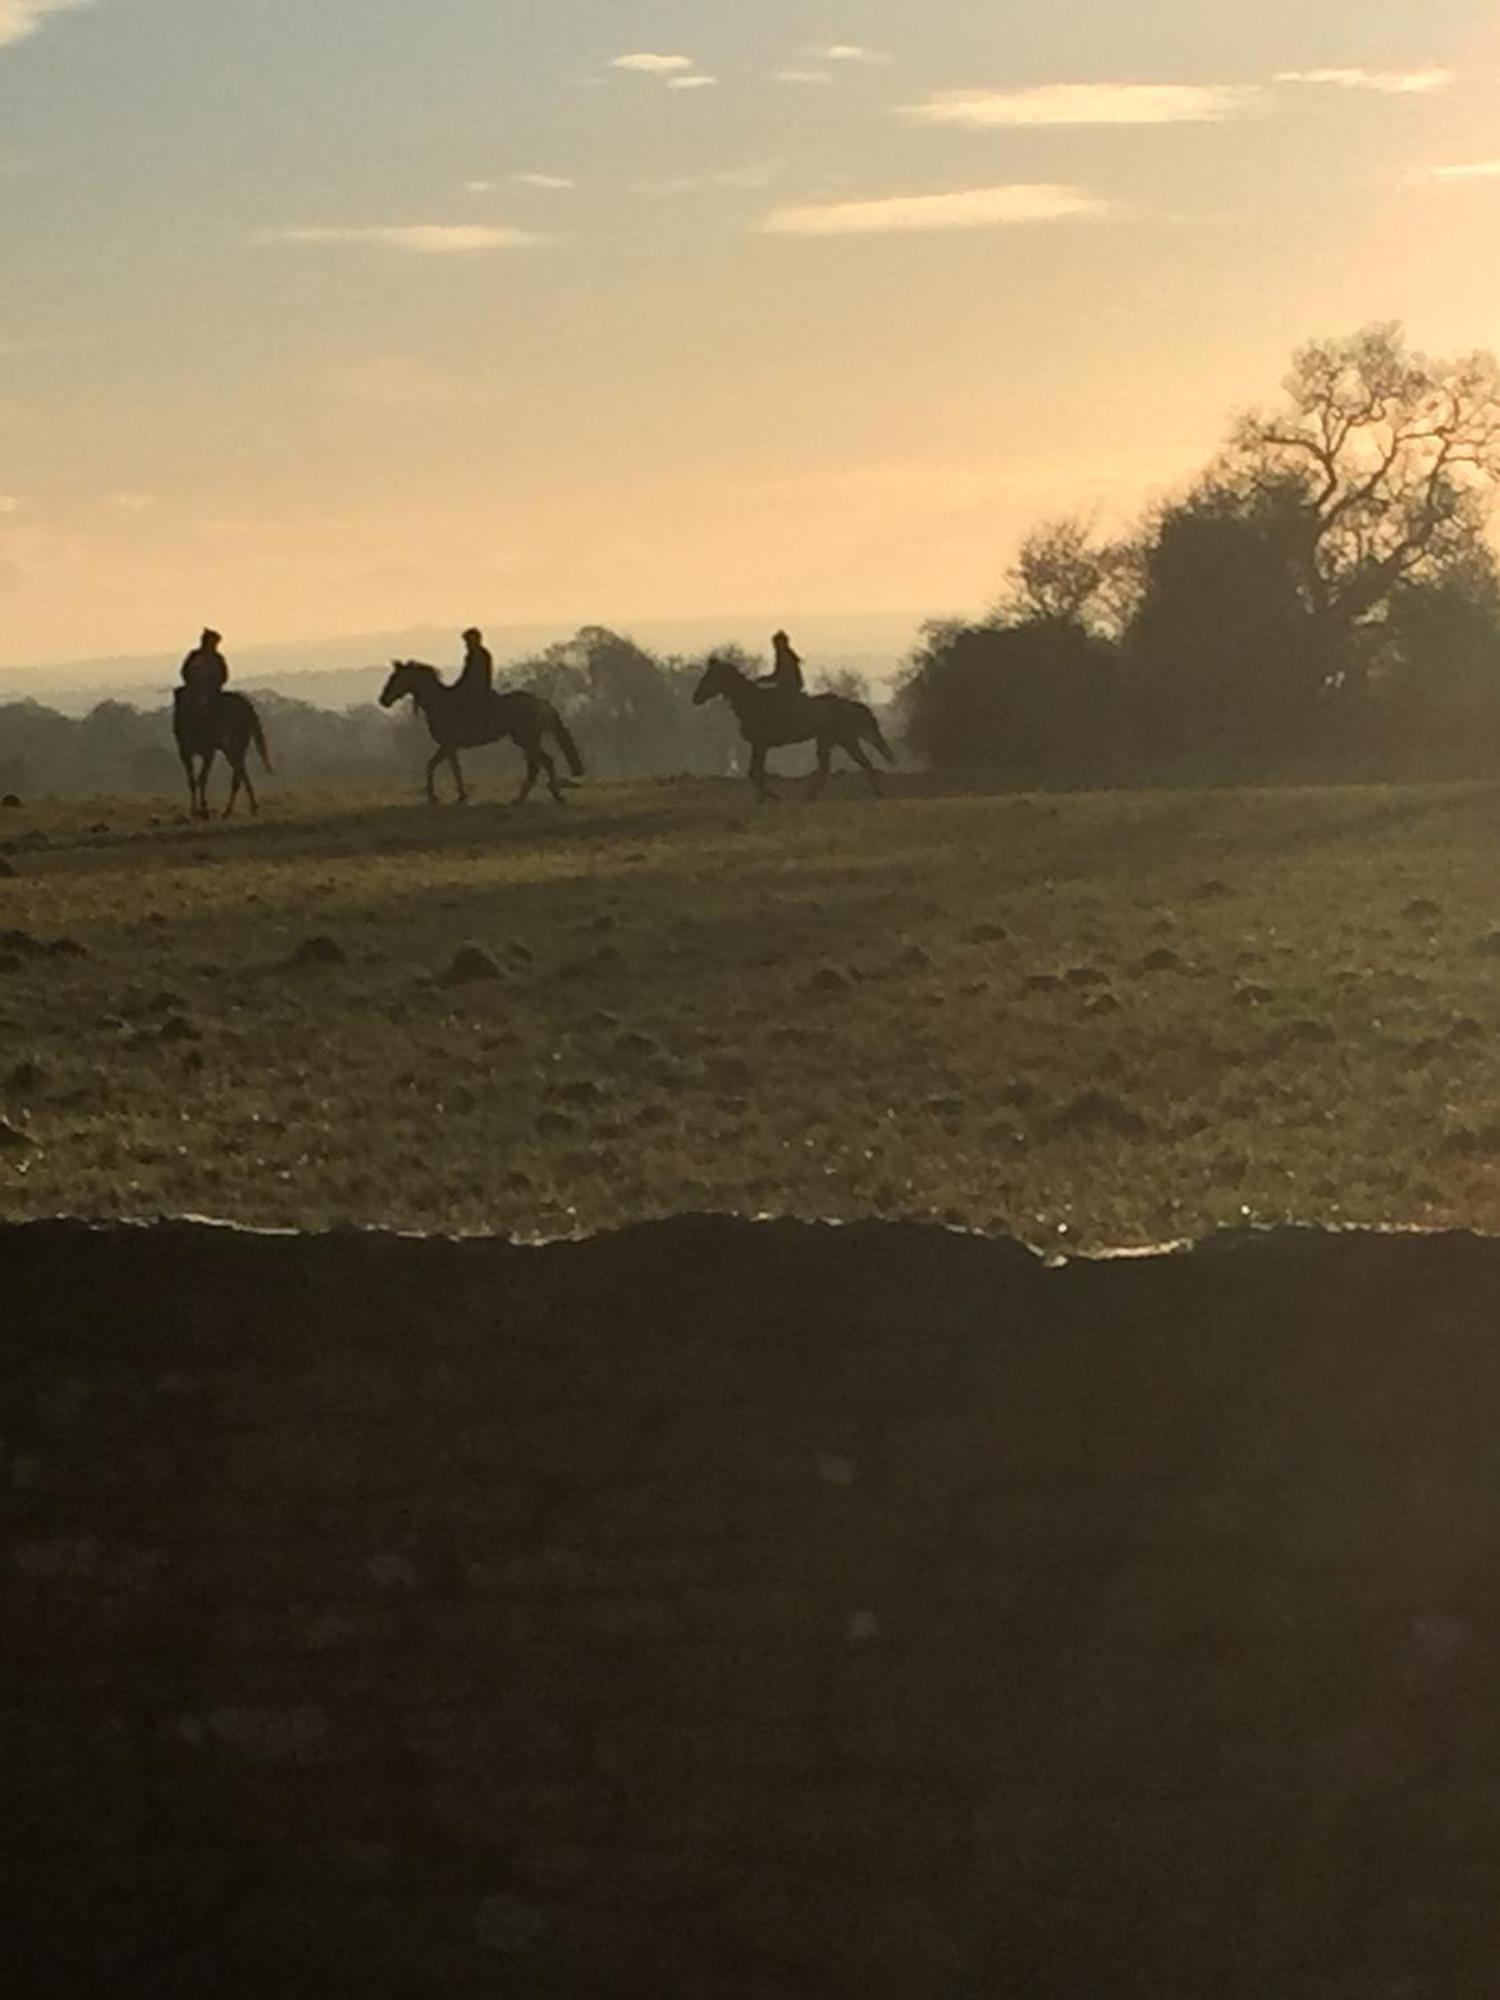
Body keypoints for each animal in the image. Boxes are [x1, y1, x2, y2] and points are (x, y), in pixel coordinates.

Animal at [174, 684, 274, 816]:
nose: (203, 704)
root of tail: (248, 707)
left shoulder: (208, 751)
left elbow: (201, 779)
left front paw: (203, 810)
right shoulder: (184, 752)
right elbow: (192, 781)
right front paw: (194, 811)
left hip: (236, 744)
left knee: (238, 773)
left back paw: (230, 810)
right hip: (230, 749)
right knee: (241, 771)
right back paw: (250, 807)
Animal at [378, 664, 584, 804]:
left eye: (395, 678)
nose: (383, 700)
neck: (439, 702)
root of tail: (541, 702)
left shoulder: (449, 745)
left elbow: (451, 768)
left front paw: (458, 796)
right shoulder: (447, 746)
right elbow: (433, 766)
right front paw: (435, 796)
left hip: (526, 740)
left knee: (541, 764)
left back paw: (531, 797)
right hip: (527, 741)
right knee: (544, 763)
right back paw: (543, 796)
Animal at [700, 652, 900, 800]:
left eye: (710, 676)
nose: (696, 698)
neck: (752, 702)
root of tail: (849, 705)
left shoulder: (760, 744)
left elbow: (755, 772)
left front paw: (772, 797)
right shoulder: (759, 745)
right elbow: (755, 772)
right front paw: (763, 798)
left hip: (844, 740)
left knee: (858, 764)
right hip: (832, 740)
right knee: (834, 767)